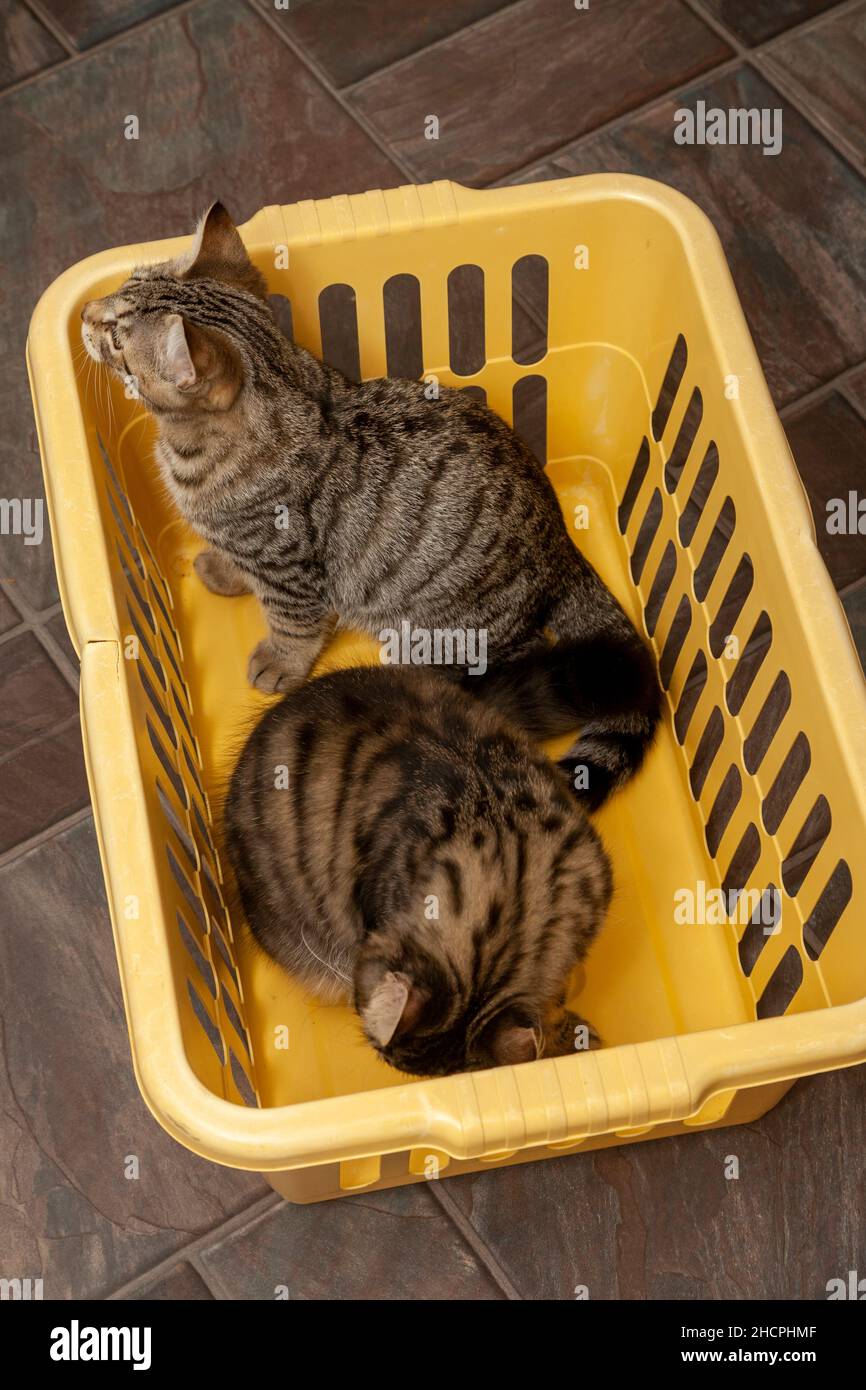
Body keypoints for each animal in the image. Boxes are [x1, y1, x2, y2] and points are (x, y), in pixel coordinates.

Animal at [83, 195, 664, 806]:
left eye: (118, 340)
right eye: (122, 284)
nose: (85, 314)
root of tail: (560, 545)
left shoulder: (290, 568)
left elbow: (291, 622)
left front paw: (278, 662)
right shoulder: (251, 547)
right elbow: (239, 565)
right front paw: (222, 570)